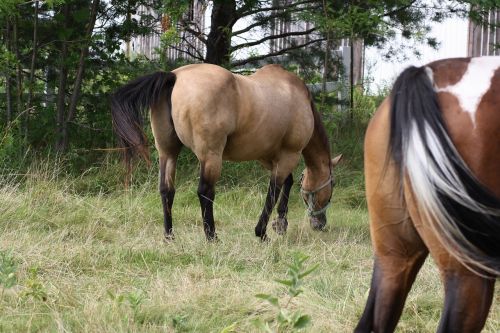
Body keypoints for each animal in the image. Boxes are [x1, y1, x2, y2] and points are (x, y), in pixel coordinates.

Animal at [111, 64, 342, 241]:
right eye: (332, 186)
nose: (319, 224)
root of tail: (174, 77)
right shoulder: (289, 155)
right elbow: (274, 190)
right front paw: (262, 232)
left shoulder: (269, 156)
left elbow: (288, 182)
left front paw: (280, 224)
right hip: (211, 156)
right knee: (205, 191)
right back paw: (212, 237)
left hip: (168, 153)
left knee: (166, 190)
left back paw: (169, 236)